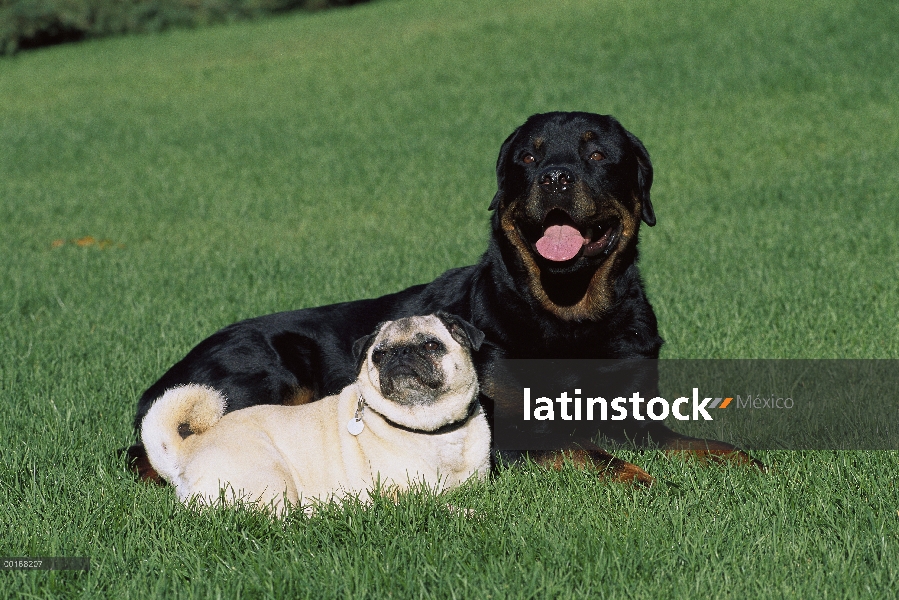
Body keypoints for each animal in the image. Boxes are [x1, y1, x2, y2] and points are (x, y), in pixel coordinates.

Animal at [128, 112, 752, 486]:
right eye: (529, 157)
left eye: (598, 155)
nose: (555, 176)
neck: (568, 316)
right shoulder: (509, 431)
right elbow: (587, 450)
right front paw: (639, 480)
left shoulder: (638, 413)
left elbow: (698, 442)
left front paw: (745, 464)